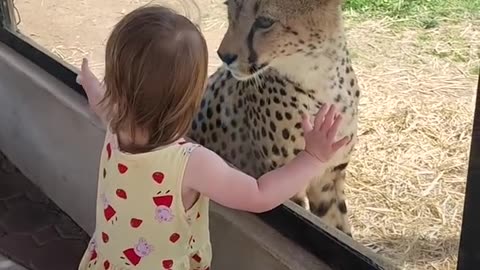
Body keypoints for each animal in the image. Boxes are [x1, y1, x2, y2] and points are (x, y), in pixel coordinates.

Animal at [190, 0, 360, 236]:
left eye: (264, 22)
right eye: (229, 6)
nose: (224, 56)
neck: (322, 79)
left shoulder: (329, 179)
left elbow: (339, 227)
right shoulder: (288, 185)